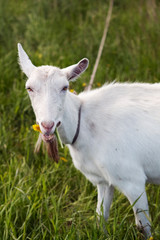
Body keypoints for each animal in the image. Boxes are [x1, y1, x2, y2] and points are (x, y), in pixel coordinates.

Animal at [17, 43, 160, 238]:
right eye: (29, 88)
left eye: (65, 87)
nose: (47, 125)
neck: (83, 122)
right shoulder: (103, 180)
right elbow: (100, 218)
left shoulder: (132, 180)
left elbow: (144, 227)